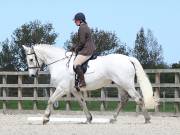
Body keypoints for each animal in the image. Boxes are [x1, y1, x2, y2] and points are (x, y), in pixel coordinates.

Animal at [22, 44, 155, 124]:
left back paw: (147, 119)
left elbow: (50, 100)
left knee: (138, 98)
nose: (32, 75)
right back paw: (113, 118)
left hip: (126, 84)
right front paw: (89, 119)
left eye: (31, 59)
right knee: (124, 100)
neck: (60, 63)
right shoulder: (74, 90)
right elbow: (82, 103)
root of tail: (128, 58)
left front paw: (45, 118)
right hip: (120, 85)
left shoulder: (62, 88)